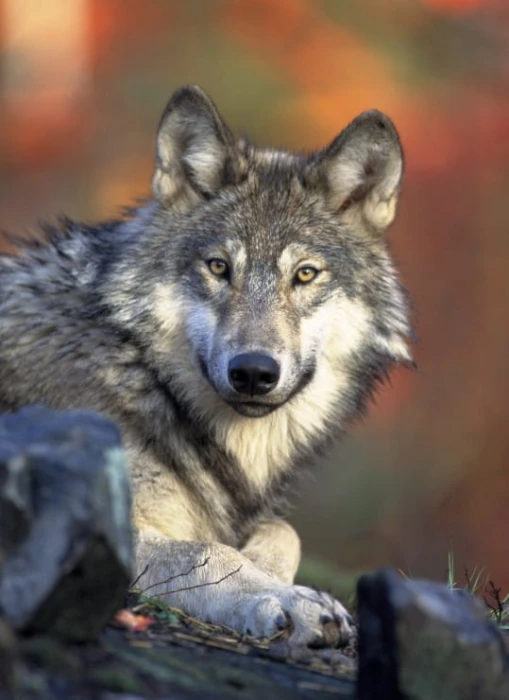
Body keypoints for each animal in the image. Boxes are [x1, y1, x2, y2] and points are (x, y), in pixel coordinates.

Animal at [0, 85, 412, 648]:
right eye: (219, 267)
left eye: (305, 274)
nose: (254, 372)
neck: (143, 375)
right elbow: (207, 551)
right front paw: (285, 599)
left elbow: (283, 531)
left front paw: (271, 571)